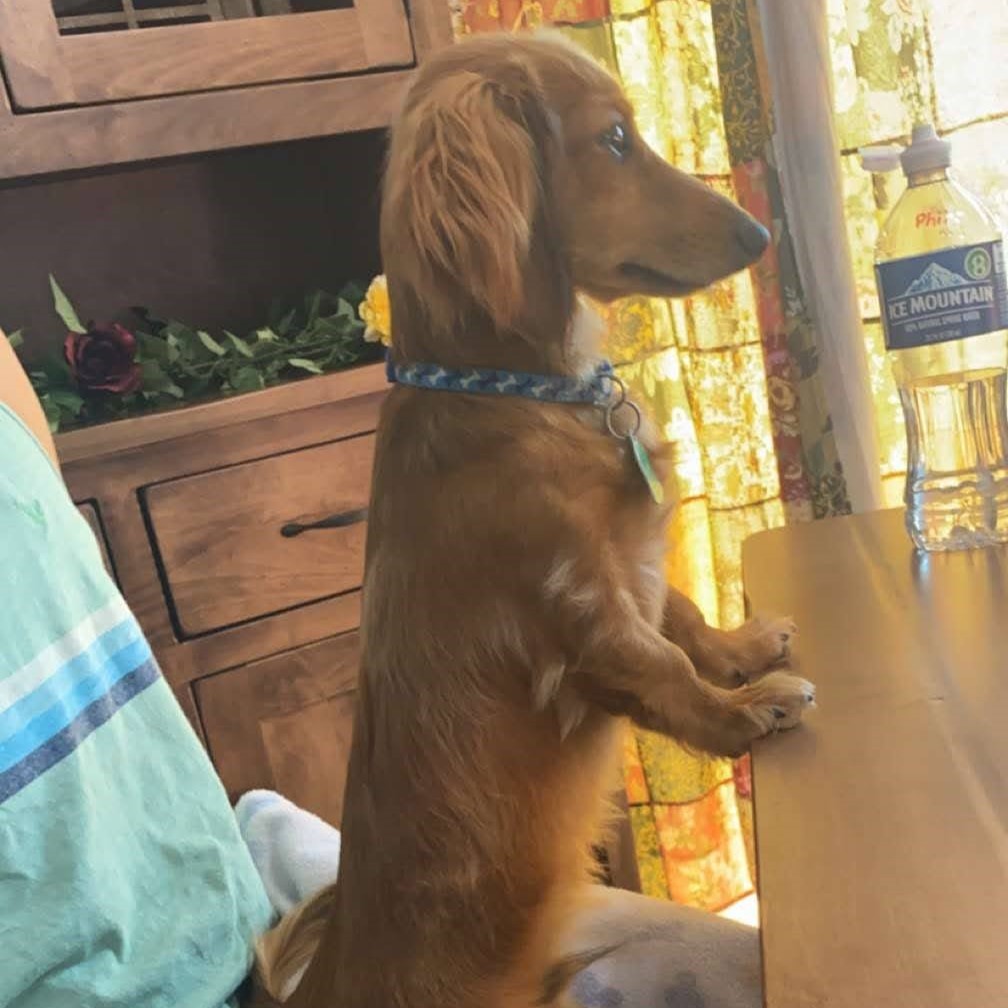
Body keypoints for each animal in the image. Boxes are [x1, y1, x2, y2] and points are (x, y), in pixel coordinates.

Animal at [256, 27, 814, 1008]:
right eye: (615, 139)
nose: (759, 234)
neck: (520, 391)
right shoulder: (576, 604)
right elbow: (663, 666)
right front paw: (748, 710)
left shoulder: (630, 570)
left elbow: (682, 616)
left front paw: (744, 652)